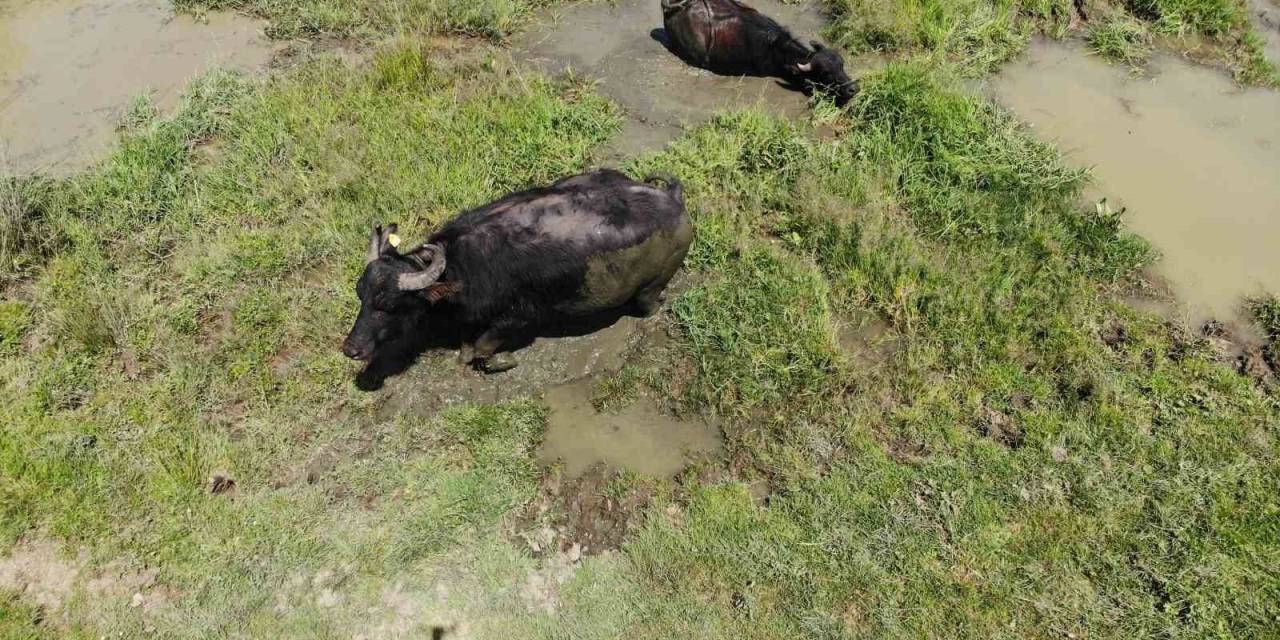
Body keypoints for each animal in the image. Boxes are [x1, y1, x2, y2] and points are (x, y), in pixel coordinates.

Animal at [343, 170, 691, 373]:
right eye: (361, 295)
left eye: (387, 305)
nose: (351, 349)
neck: (459, 267)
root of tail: (672, 198)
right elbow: (467, 348)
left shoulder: (518, 317)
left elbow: (482, 348)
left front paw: (503, 360)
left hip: (651, 288)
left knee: (648, 303)